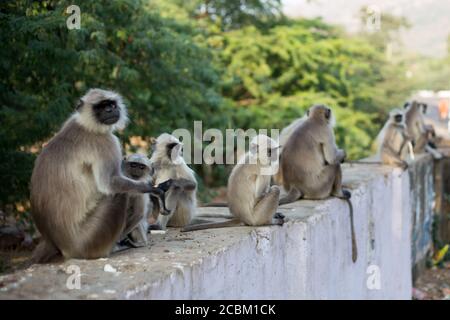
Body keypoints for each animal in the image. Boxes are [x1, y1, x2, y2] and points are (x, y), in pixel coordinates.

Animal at [31, 88, 165, 262]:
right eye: (101, 107)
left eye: (111, 104)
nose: (110, 110)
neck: (88, 126)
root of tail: (61, 246)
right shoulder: (106, 142)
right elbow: (110, 183)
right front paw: (151, 189)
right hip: (90, 240)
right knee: (120, 193)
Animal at [280, 105, 356, 262]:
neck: (314, 119)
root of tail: (295, 186)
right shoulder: (327, 131)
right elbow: (332, 158)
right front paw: (343, 154)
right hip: (320, 186)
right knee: (334, 165)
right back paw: (338, 193)